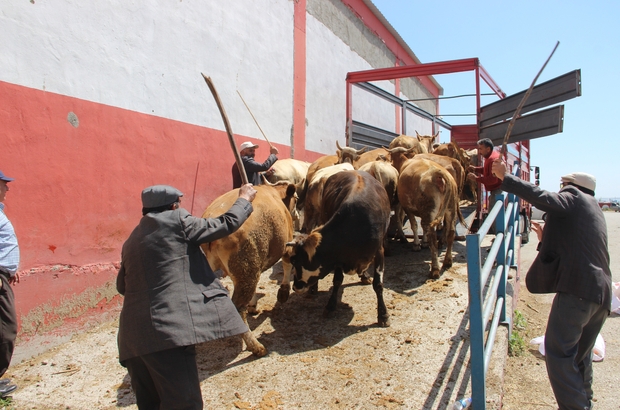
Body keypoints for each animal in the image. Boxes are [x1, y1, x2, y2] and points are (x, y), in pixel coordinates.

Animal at [199, 182, 296, 356]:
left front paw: (253, 304)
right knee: (238, 308)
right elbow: (287, 264)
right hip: (246, 269)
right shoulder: (287, 242)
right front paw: (284, 292)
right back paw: (256, 346)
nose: (298, 215)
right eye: (297, 200)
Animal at [284, 170, 390, 326]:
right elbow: (337, 280)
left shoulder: (379, 252)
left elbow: (378, 284)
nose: (296, 286)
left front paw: (383, 314)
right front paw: (331, 305)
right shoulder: (338, 258)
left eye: (296, 261)